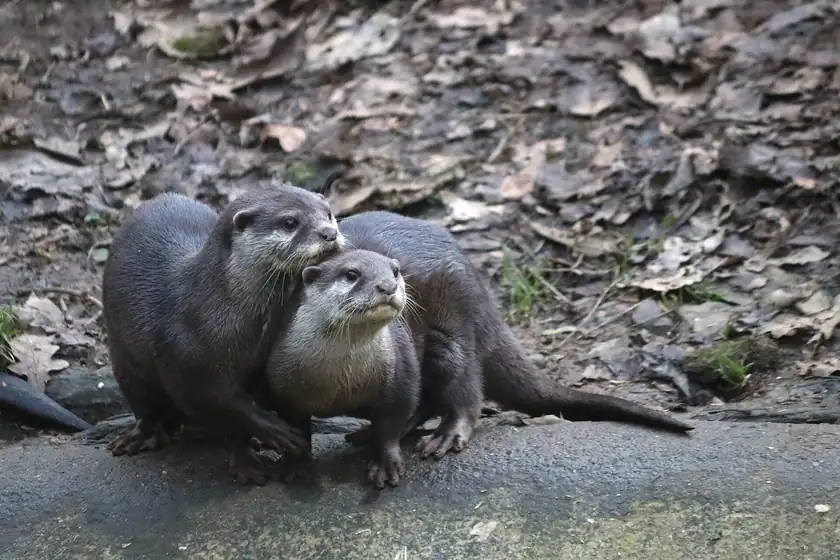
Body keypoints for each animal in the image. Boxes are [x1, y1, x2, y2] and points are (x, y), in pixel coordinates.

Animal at [100, 185, 345, 484]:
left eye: (329, 213)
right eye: (290, 222)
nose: (329, 233)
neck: (219, 307)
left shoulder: (263, 363)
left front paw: (250, 452)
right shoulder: (186, 362)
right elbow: (221, 402)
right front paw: (270, 434)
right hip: (123, 360)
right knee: (143, 404)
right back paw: (142, 436)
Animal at [264, 249, 420, 489]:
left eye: (395, 271)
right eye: (351, 274)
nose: (388, 286)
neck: (340, 377)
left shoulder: (400, 376)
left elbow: (391, 425)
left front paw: (387, 464)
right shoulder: (284, 389)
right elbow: (296, 426)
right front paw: (294, 463)